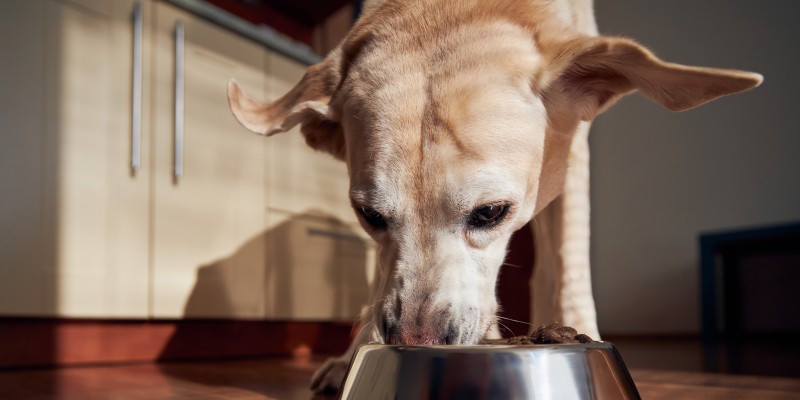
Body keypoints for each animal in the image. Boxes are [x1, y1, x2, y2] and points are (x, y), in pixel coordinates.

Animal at [227, 0, 764, 392]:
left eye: (490, 213)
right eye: (369, 216)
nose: (417, 340)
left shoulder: (574, 157)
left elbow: (570, 266)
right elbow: (379, 284)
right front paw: (353, 353)